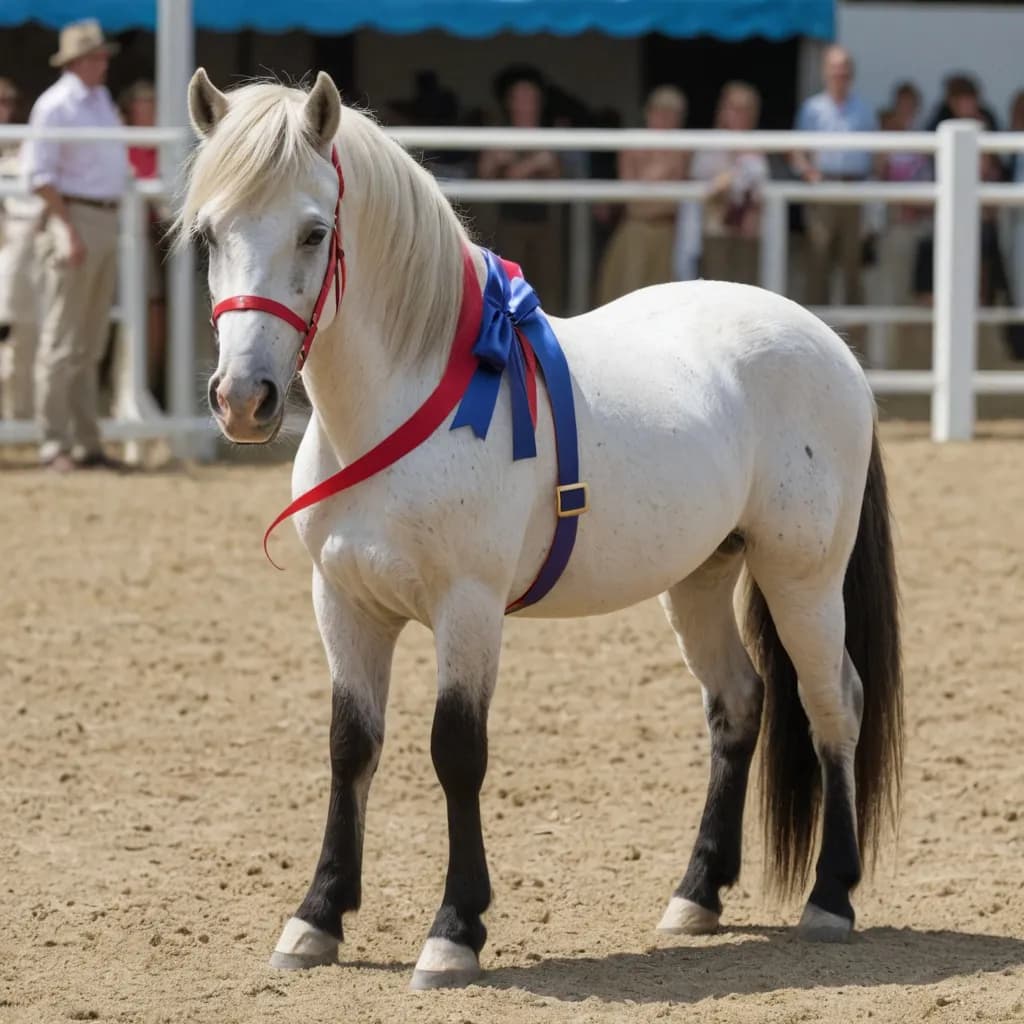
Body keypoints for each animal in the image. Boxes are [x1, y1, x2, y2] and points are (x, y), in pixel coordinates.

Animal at [179, 70, 902, 990]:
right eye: (209, 233)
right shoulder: (343, 603)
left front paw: (454, 932)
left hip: (802, 577)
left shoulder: (468, 608)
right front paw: (316, 918)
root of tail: (828, 343)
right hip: (700, 578)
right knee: (739, 705)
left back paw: (831, 898)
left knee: (831, 702)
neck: (404, 404)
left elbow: (456, 750)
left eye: (314, 233)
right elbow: (351, 746)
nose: (245, 400)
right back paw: (696, 895)